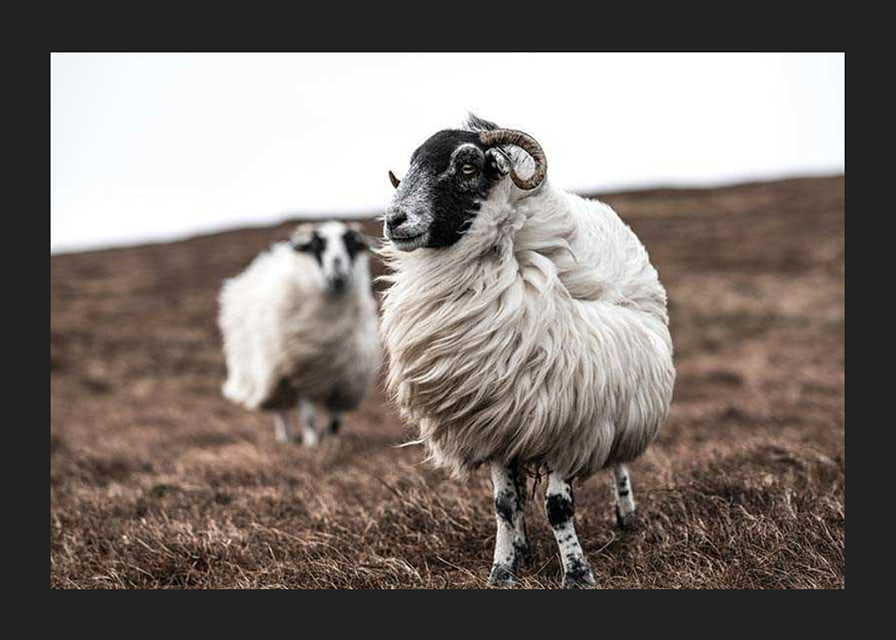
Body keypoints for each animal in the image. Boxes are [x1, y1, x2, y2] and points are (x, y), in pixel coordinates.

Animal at [219, 220, 381, 446]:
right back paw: (285, 438)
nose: (337, 275)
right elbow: (309, 417)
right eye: (316, 246)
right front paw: (312, 444)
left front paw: (332, 444)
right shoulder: (303, 375)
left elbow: (336, 420)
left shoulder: (346, 380)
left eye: (351, 244)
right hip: (271, 374)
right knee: (280, 411)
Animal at [379, 115, 675, 588]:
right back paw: (523, 548)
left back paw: (626, 517)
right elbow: (505, 504)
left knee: (618, 463)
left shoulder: (570, 420)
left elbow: (559, 507)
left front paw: (577, 574)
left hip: (620, 397)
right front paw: (502, 571)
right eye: (411, 165)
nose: (394, 219)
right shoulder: (496, 420)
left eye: (466, 166)